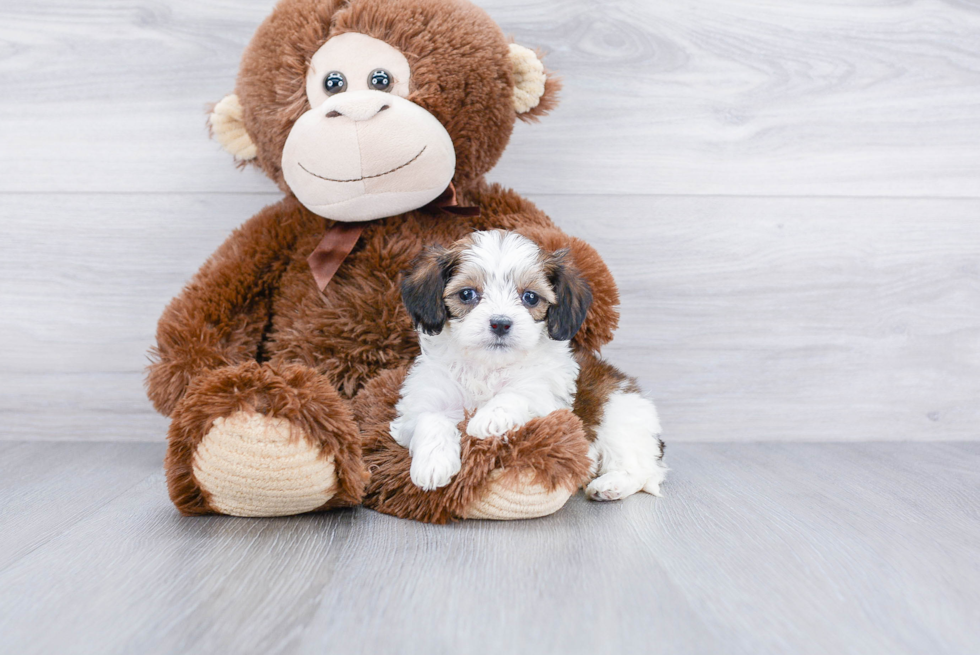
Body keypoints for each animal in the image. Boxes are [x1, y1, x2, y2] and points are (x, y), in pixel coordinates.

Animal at [388, 232, 588, 492]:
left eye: (531, 297)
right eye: (466, 294)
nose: (500, 323)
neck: (486, 365)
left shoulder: (548, 397)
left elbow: (519, 393)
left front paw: (490, 417)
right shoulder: (419, 405)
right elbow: (430, 418)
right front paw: (433, 464)